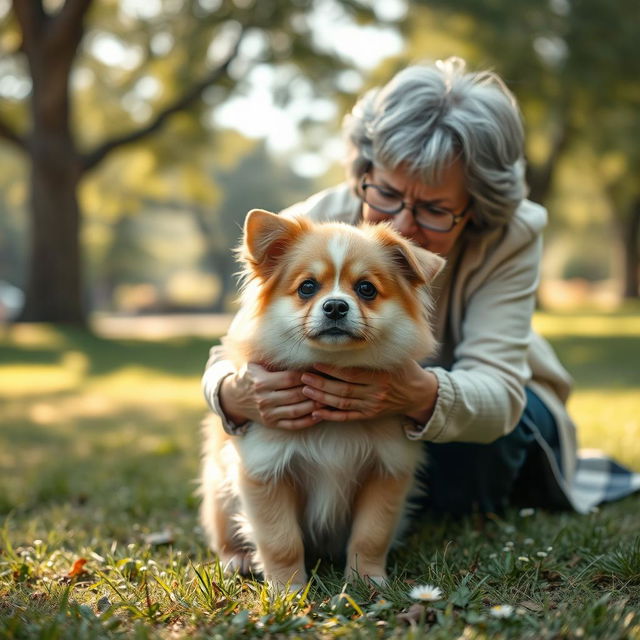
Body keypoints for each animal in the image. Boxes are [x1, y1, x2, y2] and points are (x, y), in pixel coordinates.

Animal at [200, 210, 444, 592]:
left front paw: (367, 580)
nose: (335, 306)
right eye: (307, 287)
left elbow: (371, 534)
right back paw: (237, 558)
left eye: (366, 289)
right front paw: (288, 590)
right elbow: (281, 541)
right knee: (224, 534)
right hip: (219, 493)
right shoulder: (265, 470)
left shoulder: (387, 470)